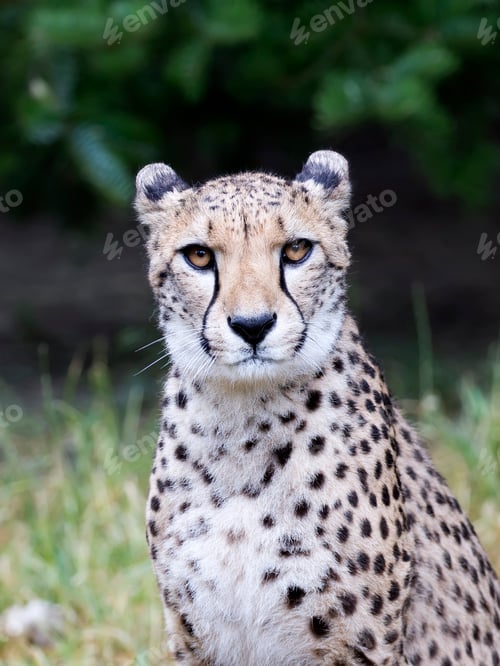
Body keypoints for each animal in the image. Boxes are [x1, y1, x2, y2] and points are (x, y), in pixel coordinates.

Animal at [135, 150, 500, 665]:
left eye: (295, 250)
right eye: (199, 256)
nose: (252, 325)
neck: (242, 427)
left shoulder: (360, 644)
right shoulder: (196, 638)